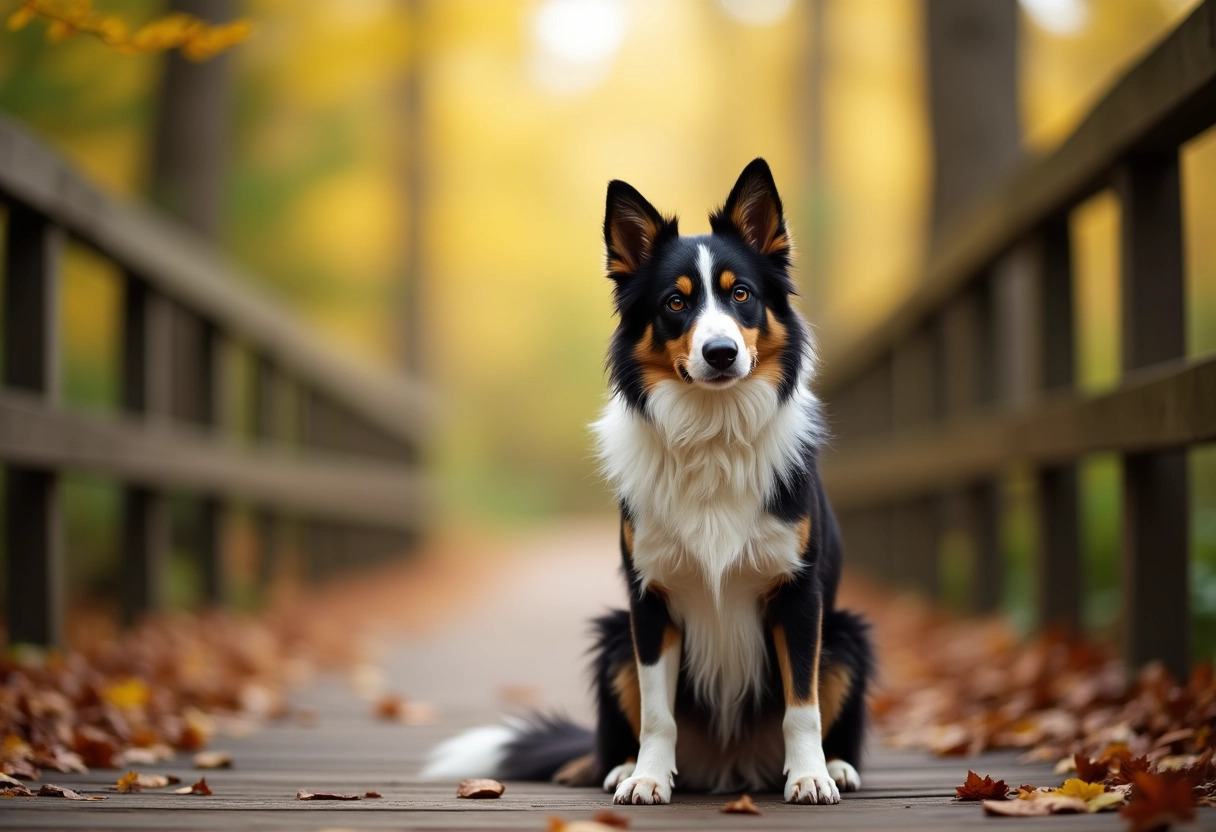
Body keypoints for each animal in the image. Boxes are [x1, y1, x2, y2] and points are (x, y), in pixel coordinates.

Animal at [423, 159, 870, 802]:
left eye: (741, 294)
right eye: (675, 302)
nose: (720, 352)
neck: (712, 432)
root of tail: (730, 767)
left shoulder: (799, 595)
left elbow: (800, 704)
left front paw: (810, 775)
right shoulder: (650, 599)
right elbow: (659, 713)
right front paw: (648, 779)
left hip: (847, 635)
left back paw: (836, 766)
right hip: (614, 635)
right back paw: (620, 766)